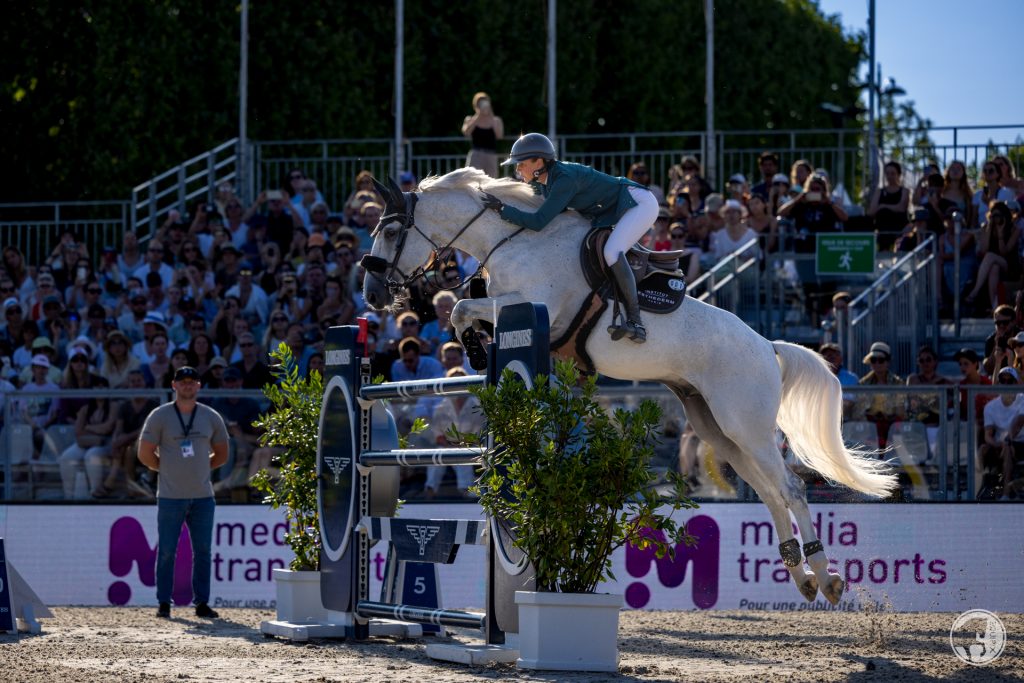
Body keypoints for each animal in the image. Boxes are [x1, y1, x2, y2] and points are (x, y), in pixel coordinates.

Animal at [362, 167, 897, 606]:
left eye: (389, 230)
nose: (372, 294)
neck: (514, 238)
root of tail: (768, 346)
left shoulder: (530, 306)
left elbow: (459, 308)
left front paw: (473, 349)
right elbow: (463, 310)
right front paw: (475, 348)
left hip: (746, 425)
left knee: (791, 488)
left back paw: (827, 579)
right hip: (720, 428)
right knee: (770, 493)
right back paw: (802, 577)